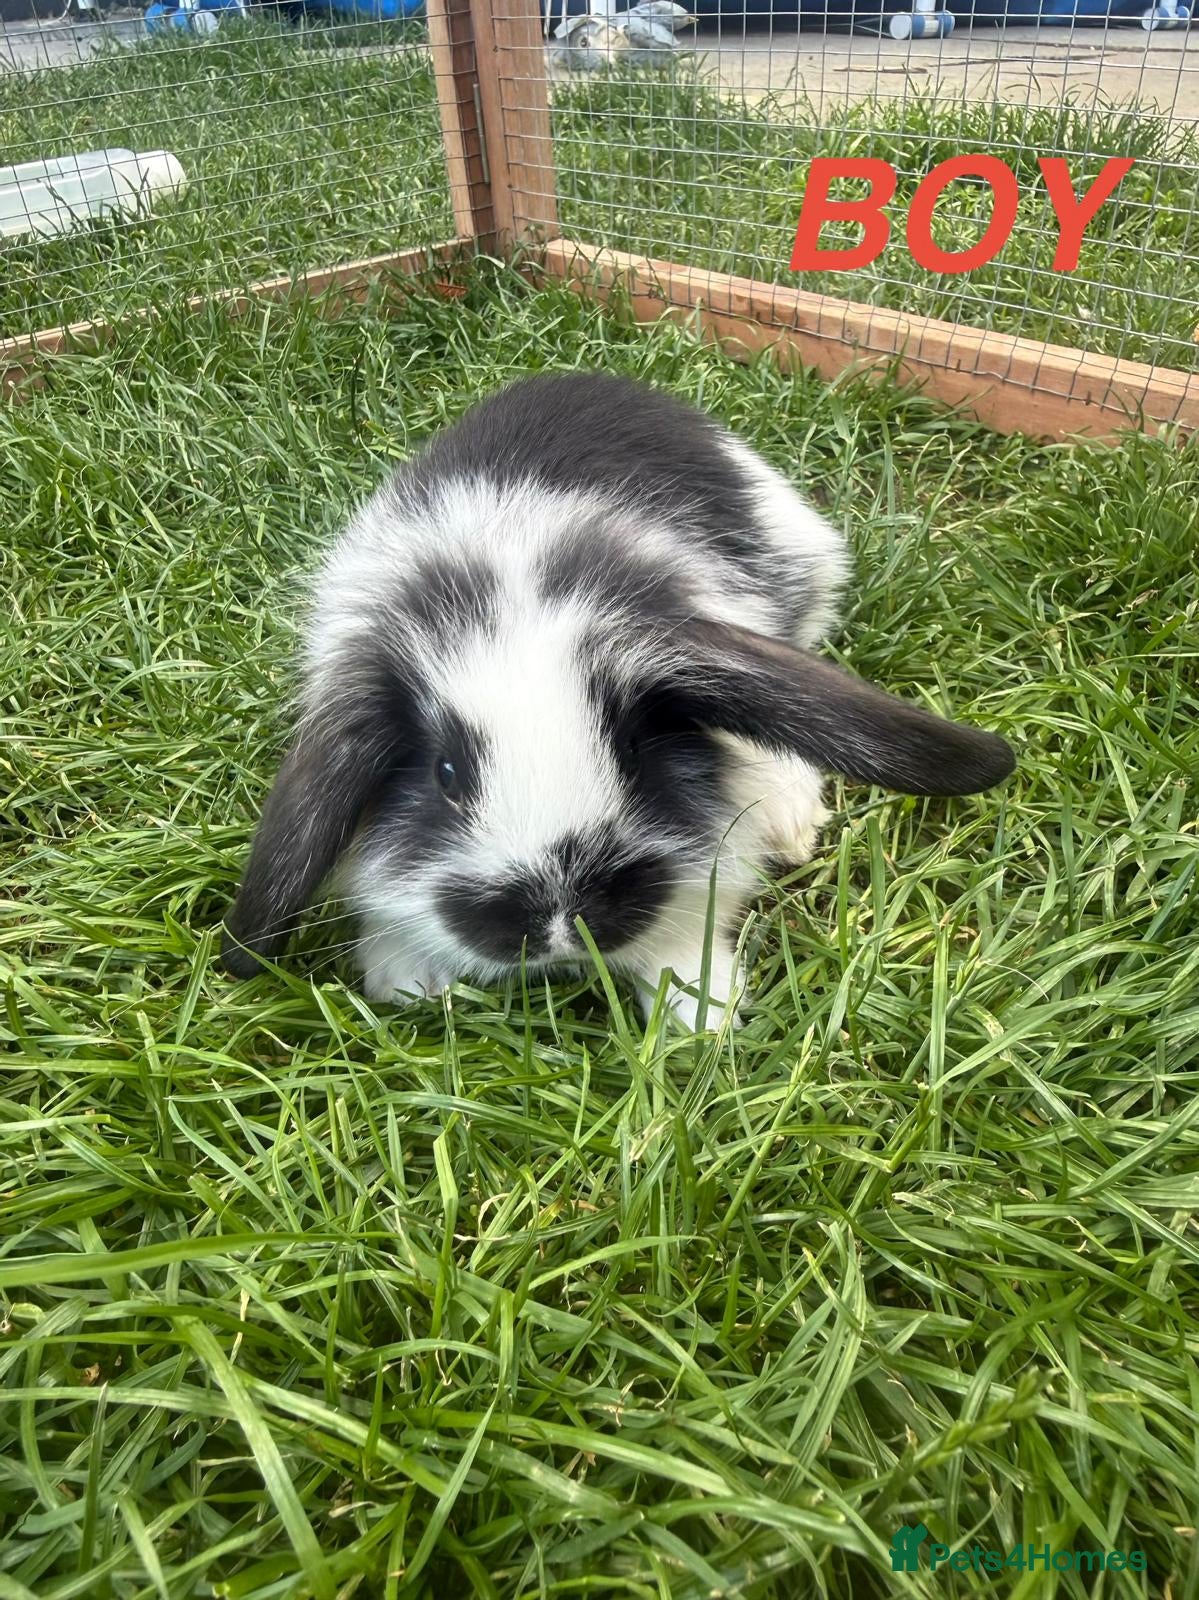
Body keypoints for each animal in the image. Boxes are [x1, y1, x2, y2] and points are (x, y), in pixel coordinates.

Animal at [220, 371, 1015, 1030]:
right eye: (445, 774)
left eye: (634, 749)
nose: (556, 924)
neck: (515, 590)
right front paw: (408, 984)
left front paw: (704, 1020)